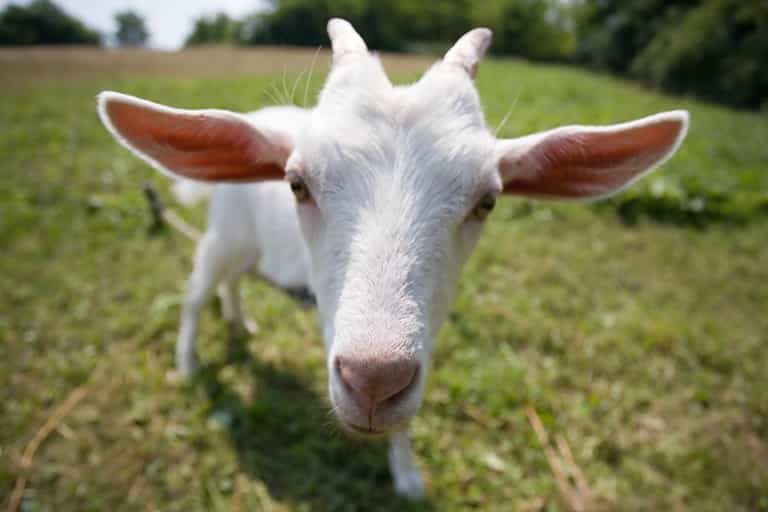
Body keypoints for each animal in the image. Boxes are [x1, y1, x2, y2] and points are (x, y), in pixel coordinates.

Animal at [97, 19, 689, 499]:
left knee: (233, 282)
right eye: (297, 184)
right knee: (196, 291)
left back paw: (241, 322)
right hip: (225, 234)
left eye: (487, 200)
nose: (373, 380)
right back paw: (189, 360)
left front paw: (406, 476)